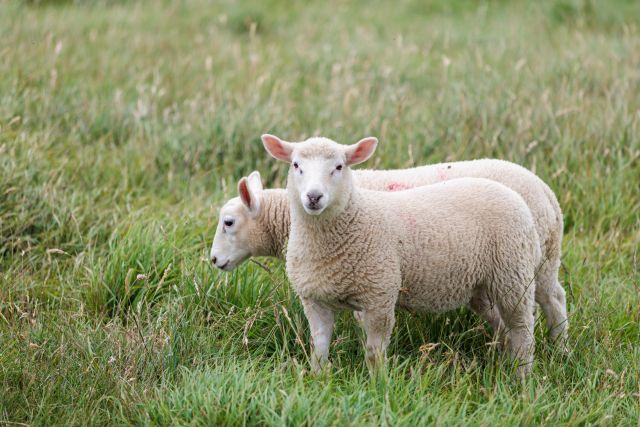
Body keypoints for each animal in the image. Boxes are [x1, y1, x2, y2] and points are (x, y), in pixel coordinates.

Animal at [210, 162, 568, 347]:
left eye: (228, 222)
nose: (213, 260)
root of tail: (547, 192)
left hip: (530, 262)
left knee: (553, 301)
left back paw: (559, 349)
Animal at [261, 134, 543, 377]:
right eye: (296, 165)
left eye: (339, 167)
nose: (314, 197)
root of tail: (513, 195)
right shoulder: (314, 300)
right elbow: (318, 348)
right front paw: (318, 378)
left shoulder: (380, 295)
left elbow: (374, 352)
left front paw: (377, 383)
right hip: (484, 285)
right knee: (505, 330)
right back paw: (505, 364)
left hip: (513, 276)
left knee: (523, 332)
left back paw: (521, 377)